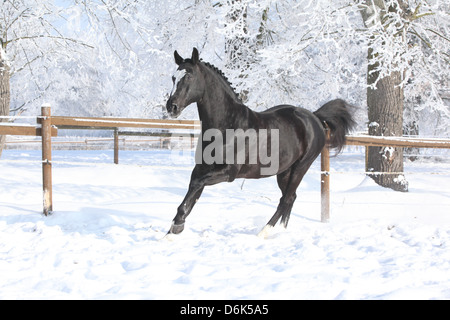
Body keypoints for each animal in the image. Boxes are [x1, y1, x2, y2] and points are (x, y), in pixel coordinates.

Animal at [165, 48, 356, 238]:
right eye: (173, 77)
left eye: (189, 76)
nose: (171, 107)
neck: (227, 124)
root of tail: (314, 117)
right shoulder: (202, 168)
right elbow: (193, 191)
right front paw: (172, 231)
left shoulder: (228, 173)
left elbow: (196, 185)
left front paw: (177, 225)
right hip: (284, 171)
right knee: (290, 198)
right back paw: (281, 230)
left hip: (301, 167)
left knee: (286, 198)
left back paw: (265, 231)